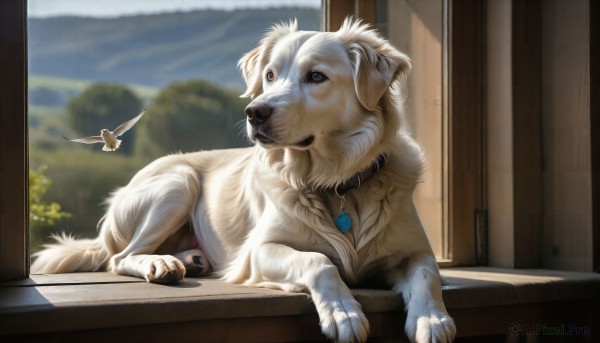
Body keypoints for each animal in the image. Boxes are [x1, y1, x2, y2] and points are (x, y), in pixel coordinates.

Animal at [32, 19, 454, 343]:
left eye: (316, 76)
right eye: (269, 75)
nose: (254, 112)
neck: (335, 182)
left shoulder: (415, 251)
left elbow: (428, 274)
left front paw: (433, 319)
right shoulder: (260, 251)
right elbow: (319, 260)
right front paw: (344, 313)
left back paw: (190, 260)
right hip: (178, 181)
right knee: (120, 257)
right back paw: (162, 263)